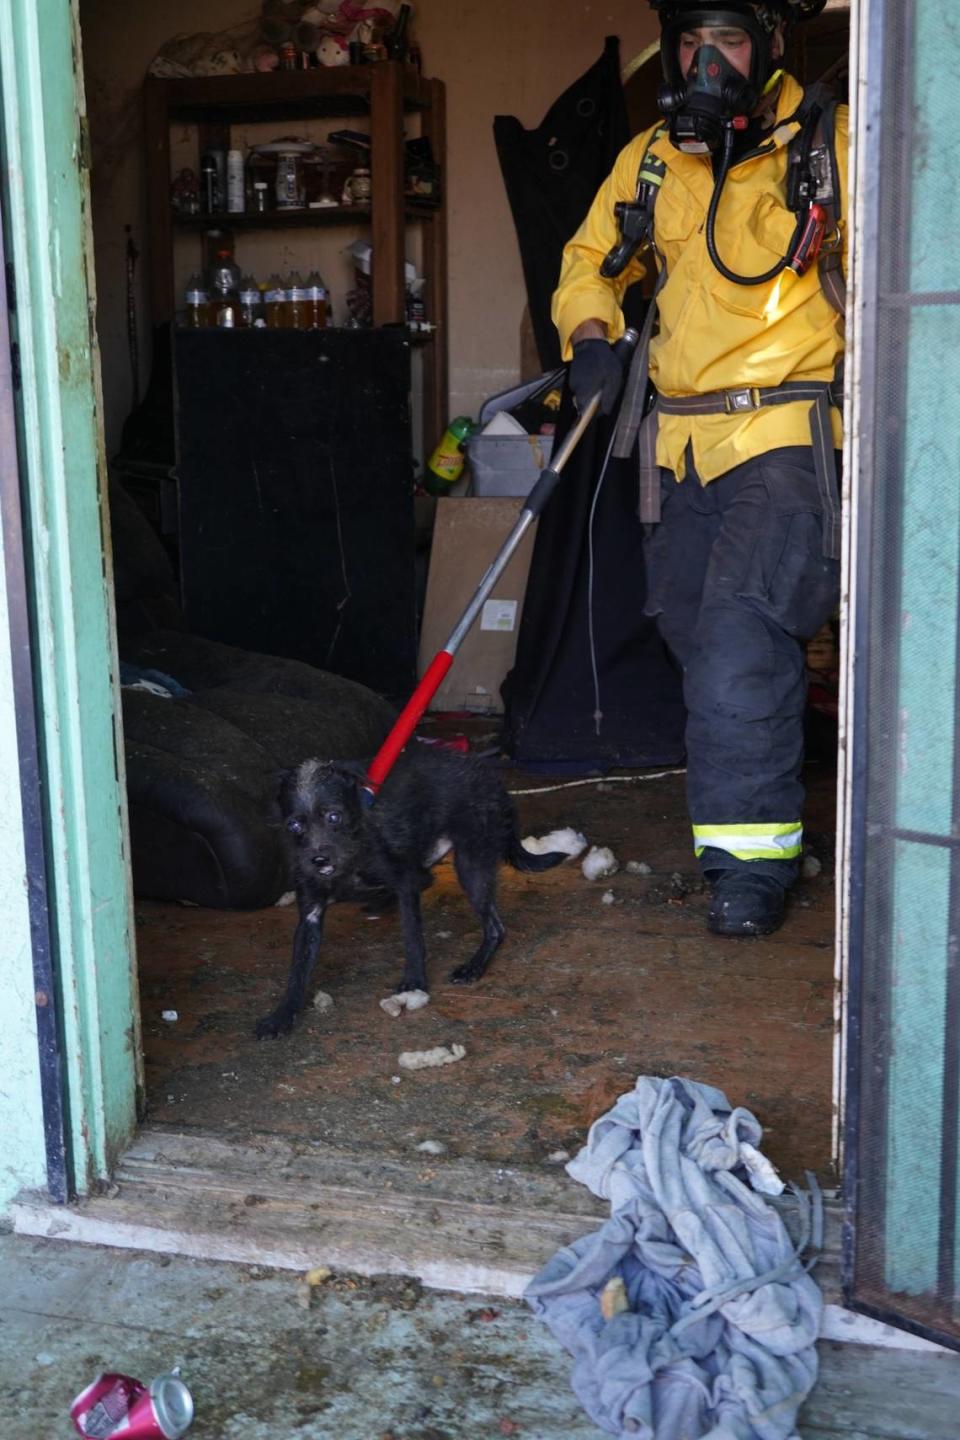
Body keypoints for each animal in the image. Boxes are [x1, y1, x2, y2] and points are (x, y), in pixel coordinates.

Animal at [254, 748, 569, 1042]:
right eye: (294, 825)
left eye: (334, 816)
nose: (318, 860)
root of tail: (490, 776)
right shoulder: (310, 914)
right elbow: (298, 970)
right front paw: (282, 1015)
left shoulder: (405, 884)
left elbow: (413, 936)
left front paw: (415, 980)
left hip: (471, 864)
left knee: (495, 926)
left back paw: (473, 967)